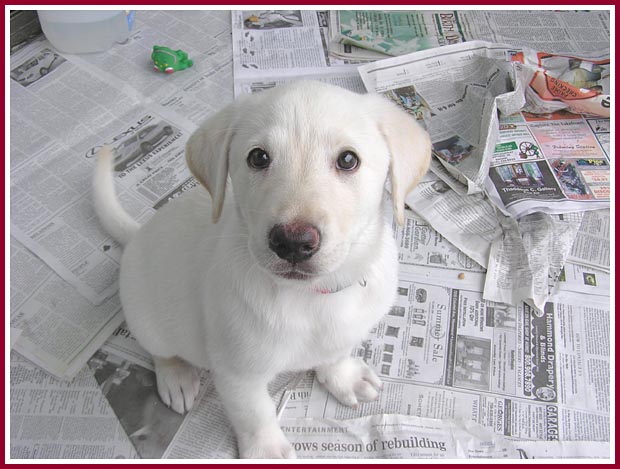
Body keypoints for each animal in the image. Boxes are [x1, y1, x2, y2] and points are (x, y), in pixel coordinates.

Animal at [93, 81, 432, 458]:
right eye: (258, 157)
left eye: (348, 160)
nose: (293, 242)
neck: (311, 297)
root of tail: (137, 234)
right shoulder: (237, 372)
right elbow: (254, 414)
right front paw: (266, 450)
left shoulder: (345, 330)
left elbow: (335, 353)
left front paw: (343, 376)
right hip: (144, 316)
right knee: (160, 350)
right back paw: (176, 376)